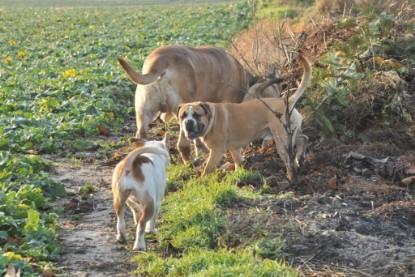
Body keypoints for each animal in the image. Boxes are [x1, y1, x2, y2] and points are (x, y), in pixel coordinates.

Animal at [177, 54, 310, 179]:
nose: (188, 122)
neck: (211, 118)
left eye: (196, 115)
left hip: (281, 140)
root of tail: (287, 101)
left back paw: (292, 175)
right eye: (182, 116)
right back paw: (300, 159)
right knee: (303, 138)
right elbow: (238, 161)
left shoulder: (216, 151)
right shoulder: (233, 148)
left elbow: (207, 169)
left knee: (289, 159)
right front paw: (239, 172)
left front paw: (203, 180)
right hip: (289, 134)